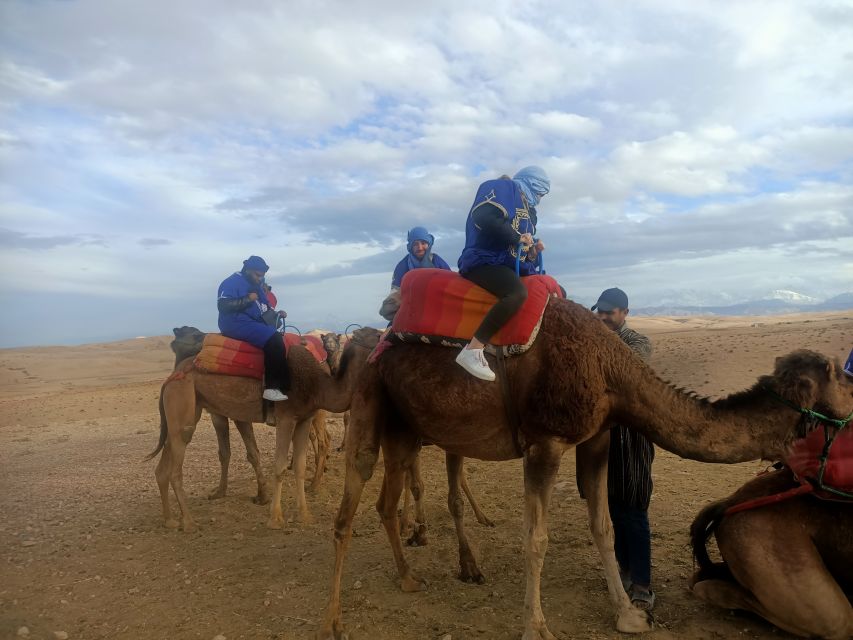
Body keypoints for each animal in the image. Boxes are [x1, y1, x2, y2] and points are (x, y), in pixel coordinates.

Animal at [148, 328, 382, 532]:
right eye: (376, 335)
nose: (387, 336)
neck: (315, 383)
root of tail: (173, 375)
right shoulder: (285, 418)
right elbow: (279, 467)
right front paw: (275, 518)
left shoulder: (304, 418)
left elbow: (299, 466)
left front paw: (304, 515)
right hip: (183, 400)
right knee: (176, 467)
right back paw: (188, 523)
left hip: (186, 410)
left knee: (164, 464)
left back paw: (169, 520)